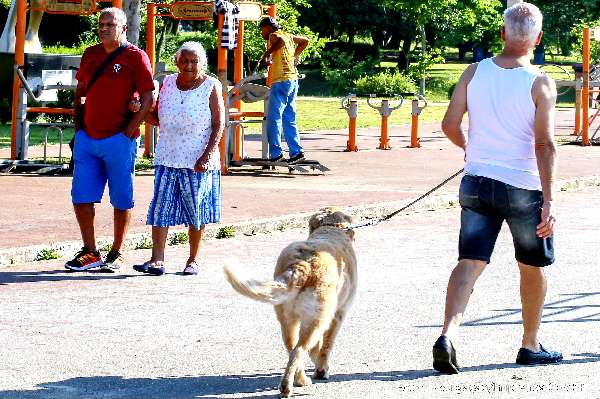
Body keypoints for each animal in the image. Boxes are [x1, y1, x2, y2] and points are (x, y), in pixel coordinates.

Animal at [224, 208, 356, 398]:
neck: (331, 228)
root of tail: (301, 265)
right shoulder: (338, 313)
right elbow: (326, 345)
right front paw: (322, 369)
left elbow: (316, 347)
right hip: (315, 319)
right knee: (299, 350)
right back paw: (288, 386)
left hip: (287, 318)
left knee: (292, 348)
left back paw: (299, 379)